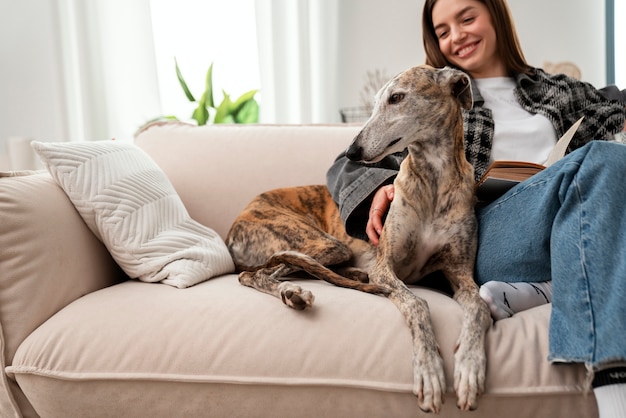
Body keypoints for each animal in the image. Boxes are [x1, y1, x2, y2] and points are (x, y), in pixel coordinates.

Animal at [227, 64, 490, 412]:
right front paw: (429, 371)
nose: (352, 151)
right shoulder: (385, 268)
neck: (434, 180)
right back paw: (292, 292)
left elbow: (480, 307)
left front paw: (470, 368)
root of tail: (235, 224)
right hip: (322, 244)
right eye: (377, 101)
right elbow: (417, 304)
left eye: (397, 98)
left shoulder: (460, 273)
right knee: (255, 275)